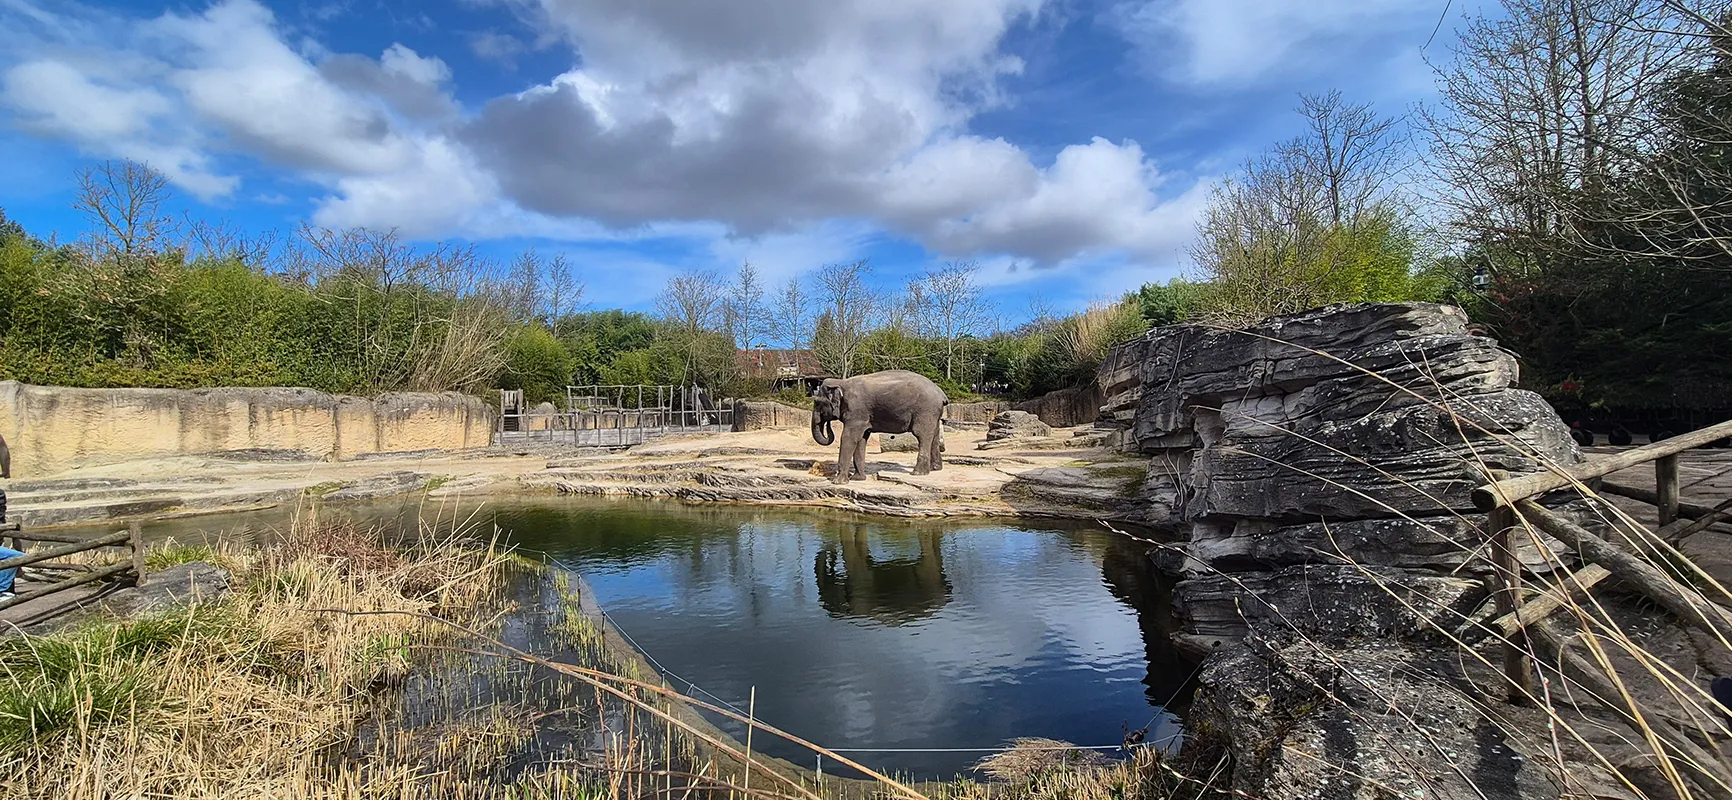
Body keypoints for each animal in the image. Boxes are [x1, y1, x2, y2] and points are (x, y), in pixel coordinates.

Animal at [811, 370, 948, 483]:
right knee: (935, 435)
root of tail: (942, 394)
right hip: (933, 412)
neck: (841, 382)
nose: (828, 423)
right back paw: (935, 468)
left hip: (925, 410)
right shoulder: (862, 417)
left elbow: (849, 437)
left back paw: (918, 473)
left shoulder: (856, 412)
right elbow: (861, 439)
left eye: (817, 403)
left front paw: (838, 482)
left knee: (922, 435)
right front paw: (858, 479)